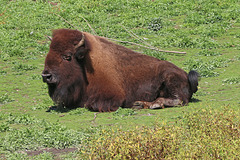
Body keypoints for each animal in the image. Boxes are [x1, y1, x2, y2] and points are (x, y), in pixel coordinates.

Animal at [42, 28, 200, 111]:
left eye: (67, 56)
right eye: (49, 52)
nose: (46, 76)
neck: (85, 63)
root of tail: (186, 75)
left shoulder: (113, 97)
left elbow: (91, 104)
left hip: (169, 78)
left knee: (178, 100)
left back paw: (146, 104)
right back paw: (140, 104)